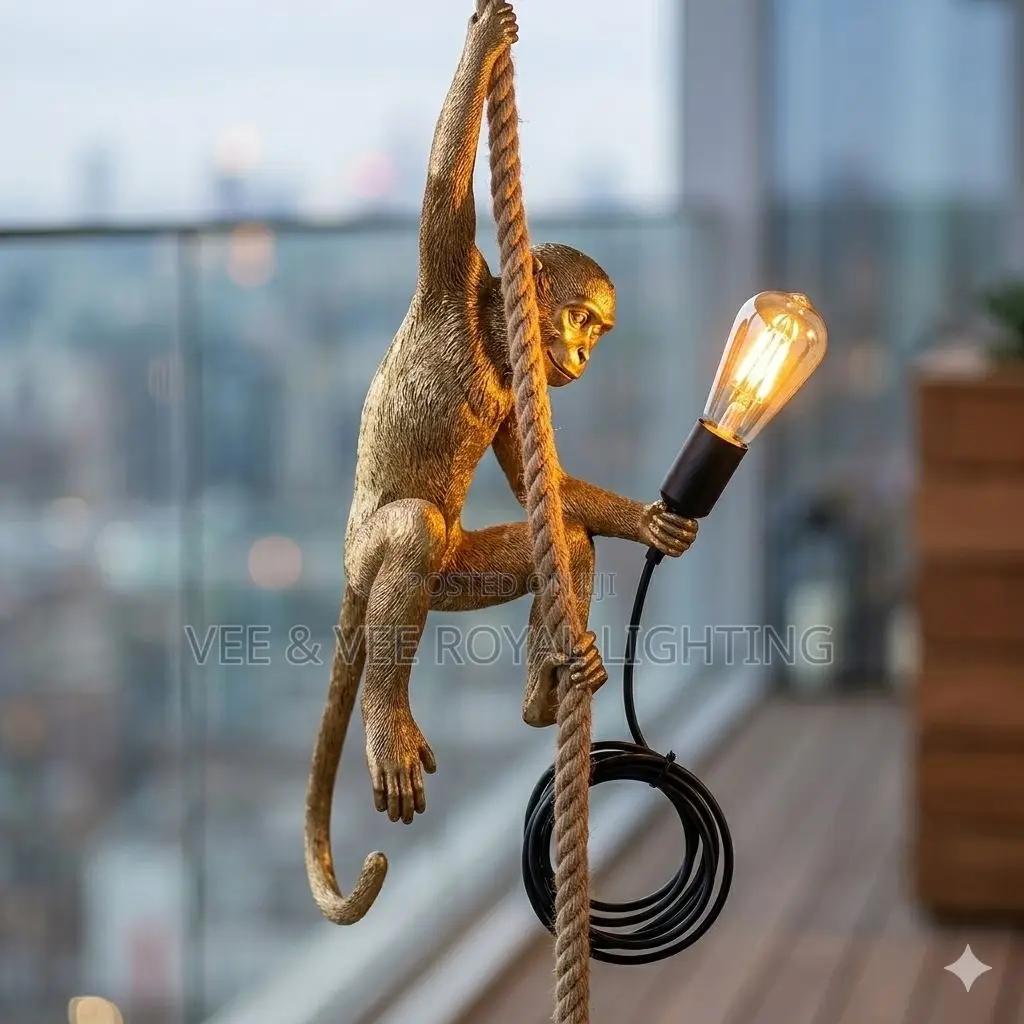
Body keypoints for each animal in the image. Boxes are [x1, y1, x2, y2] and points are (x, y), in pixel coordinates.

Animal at [305, 0, 698, 925]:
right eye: (585, 321)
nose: (584, 356)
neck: (491, 335)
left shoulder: (527, 386)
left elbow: (538, 485)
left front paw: (649, 522)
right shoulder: (454, 268)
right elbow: (439, 187)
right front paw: (485, 41)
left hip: (461, 573)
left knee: (561, 541)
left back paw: (546, 691)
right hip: (373, 559)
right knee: (411, 532)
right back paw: (387, 721)